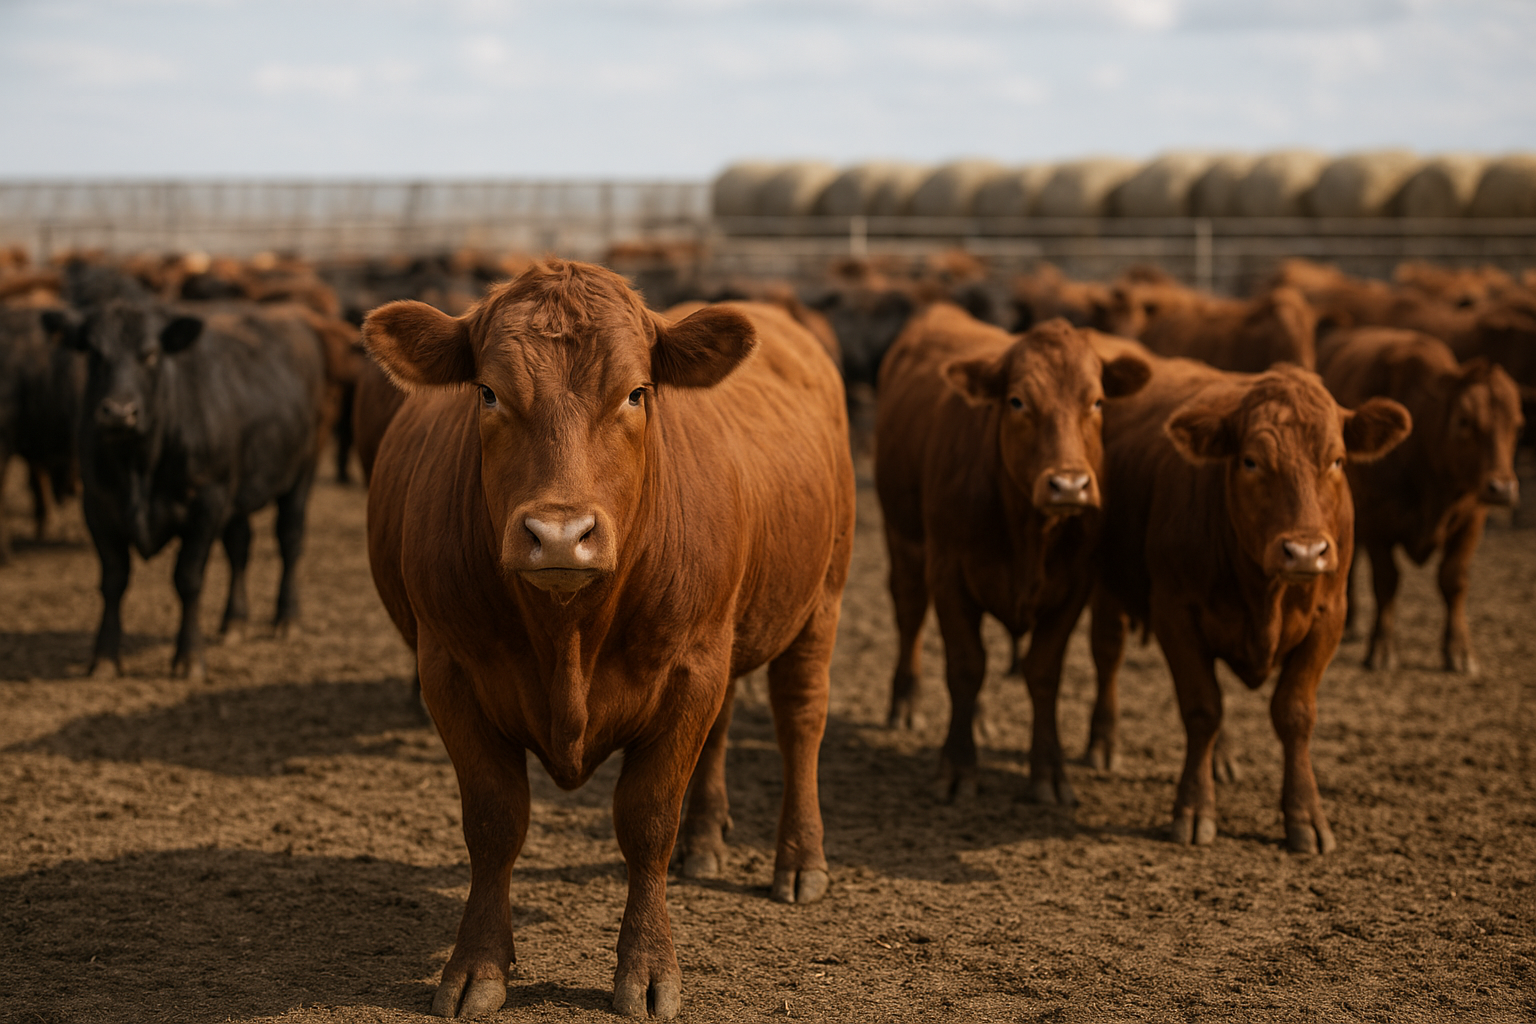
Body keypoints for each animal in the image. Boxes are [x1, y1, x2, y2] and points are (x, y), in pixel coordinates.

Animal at [48, 269, 330, 678]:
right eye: (95, 354)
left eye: (150, 354)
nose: (119, 412)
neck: (139, 466)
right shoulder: (99, 506)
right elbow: (114, 580)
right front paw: (104, 658)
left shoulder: (206, 504)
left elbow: (188, 578)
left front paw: (189, 657)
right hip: (237, 492)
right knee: (240, 547)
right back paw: (234, 622)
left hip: (300, 474)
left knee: (290, 540)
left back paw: (286, 618)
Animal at [362, 259, 854, 1019]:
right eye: (488, 393)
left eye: (635, 393)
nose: (561, 535)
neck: (568, 636)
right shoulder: (449, 671)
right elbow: (494, 823)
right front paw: (477, 967)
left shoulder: (689, 669)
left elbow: (648, 820)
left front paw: (648, 969)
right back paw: (706, 840)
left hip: (819, 599)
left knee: (800, 718)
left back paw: (799, 860)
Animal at [875, 307, 1149, 803]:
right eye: (1018, 401)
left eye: (1098, 402)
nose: (1069, 485)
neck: (1029, 531)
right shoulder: (948, 573)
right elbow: (966, 666)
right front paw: (957, 767)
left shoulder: (1074, 585)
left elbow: (1042, 672)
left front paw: (1050, 772)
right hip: (902, 537)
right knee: (910, 613)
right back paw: (906, 702)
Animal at [1086, 334, 1410, 852]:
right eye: (1251, 461)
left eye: (1337, 460)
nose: (1305, 551)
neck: (1266, 593)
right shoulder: (1175, 613)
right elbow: (1202, 708)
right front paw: (1194, 807)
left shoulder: (1330, 616)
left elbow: (1294, 713)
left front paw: (1305, 816)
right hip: (1107, 585)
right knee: (1108, 653)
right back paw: (1103, 743)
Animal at [1318, 327, 1523, 673]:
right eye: (1464, 421)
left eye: (1518, 423)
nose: (1502, 488)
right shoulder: (1376, 520)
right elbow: (1386, 581)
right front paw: (1382, 649)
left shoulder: (1471, 518)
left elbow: (1453, 579)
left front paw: (1459, 651)